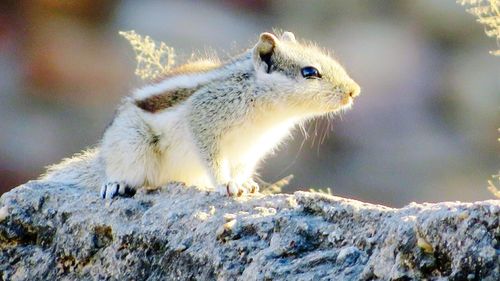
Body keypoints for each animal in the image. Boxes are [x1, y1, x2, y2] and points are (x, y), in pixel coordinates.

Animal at [39, 31, 360, 198]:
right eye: (310, 72)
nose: (354, 91)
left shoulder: (251, 149)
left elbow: (242, 168)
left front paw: (245, 184)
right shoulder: (204, 119)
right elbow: (213, 159)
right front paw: (226, 184)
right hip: (132, 145)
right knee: (119, 173)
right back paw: (113, 183)